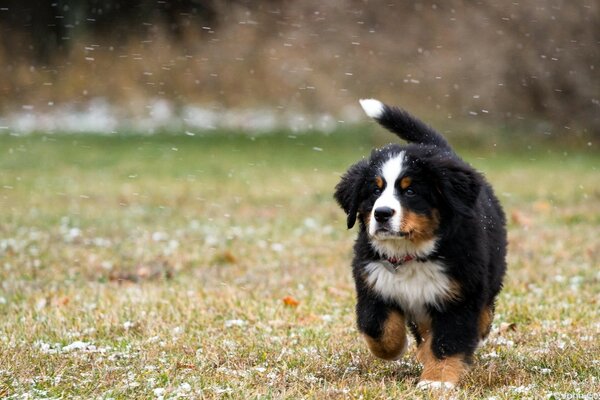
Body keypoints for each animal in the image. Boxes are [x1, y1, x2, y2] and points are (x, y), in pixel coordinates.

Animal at [332, 100, 506, 390]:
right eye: (375, 191)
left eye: (410, 191)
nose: (382, 214)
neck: (410, 254)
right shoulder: (372, 283)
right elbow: (377, 327)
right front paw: (394, 349)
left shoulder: (458, 295)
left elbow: (448, 341)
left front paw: (436, 380)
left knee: (484, 310)